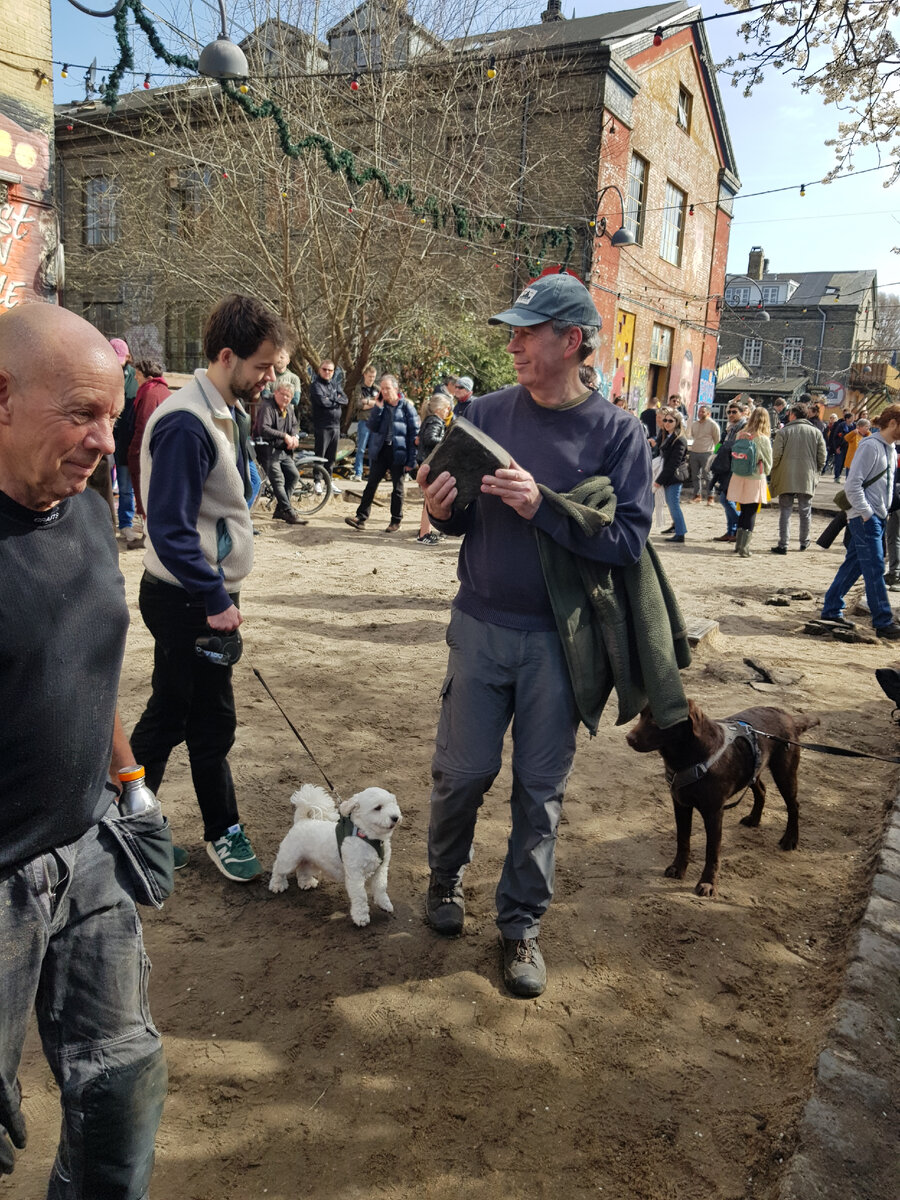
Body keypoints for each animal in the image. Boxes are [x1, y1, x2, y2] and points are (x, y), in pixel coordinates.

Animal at [270, 782, 403, 921]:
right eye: (377, 808)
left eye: (393, 803)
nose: (395, 817)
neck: (369, 838)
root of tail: (301, 821)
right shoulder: (355, 874)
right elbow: (360, 895)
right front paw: (360, 916)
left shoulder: (381, 869)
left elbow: (381, 887)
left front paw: (384, 904)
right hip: (289, 859)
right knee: (278, 868)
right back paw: (277, 885)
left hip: (309, 860)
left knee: (302, 868)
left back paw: (306, 882)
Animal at [628, 700, 820, 902]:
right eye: (641, 714)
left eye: (657, 718)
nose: (629, 738)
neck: (690, 757)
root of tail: (789, 717)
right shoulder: (680, 804)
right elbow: (683, 840)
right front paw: (678, 868)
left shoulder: (713, 812)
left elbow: (712, 852)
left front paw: (708, 884)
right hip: (753, 769)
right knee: (762, 790)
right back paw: (754, 819)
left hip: (784, 772)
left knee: (793, 805)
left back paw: (790, 839)